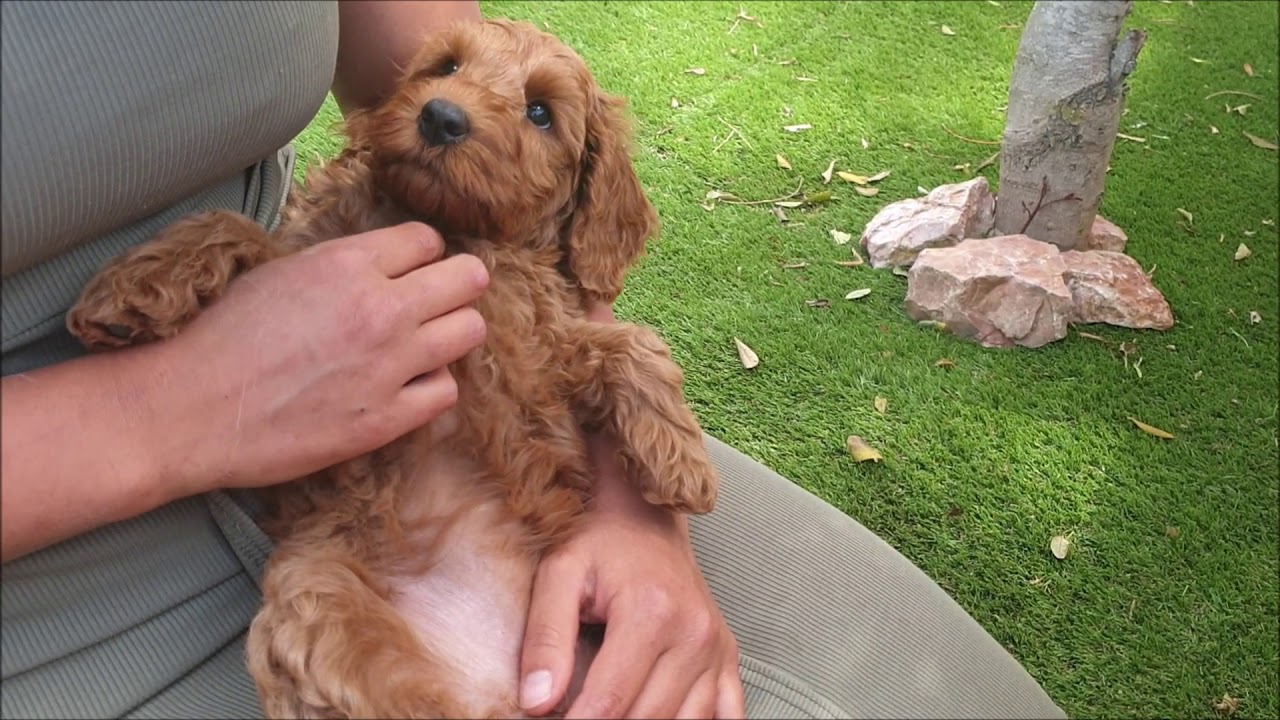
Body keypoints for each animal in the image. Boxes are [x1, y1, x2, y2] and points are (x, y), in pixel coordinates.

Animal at [67, 16, 721, 717]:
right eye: (446, 67)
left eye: (540, 113)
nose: (441, 116)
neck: (441, 223)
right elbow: (240, 230)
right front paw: (135, 288)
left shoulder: (530, 351)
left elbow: (629, 343)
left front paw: (679, 466)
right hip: (318, 594)